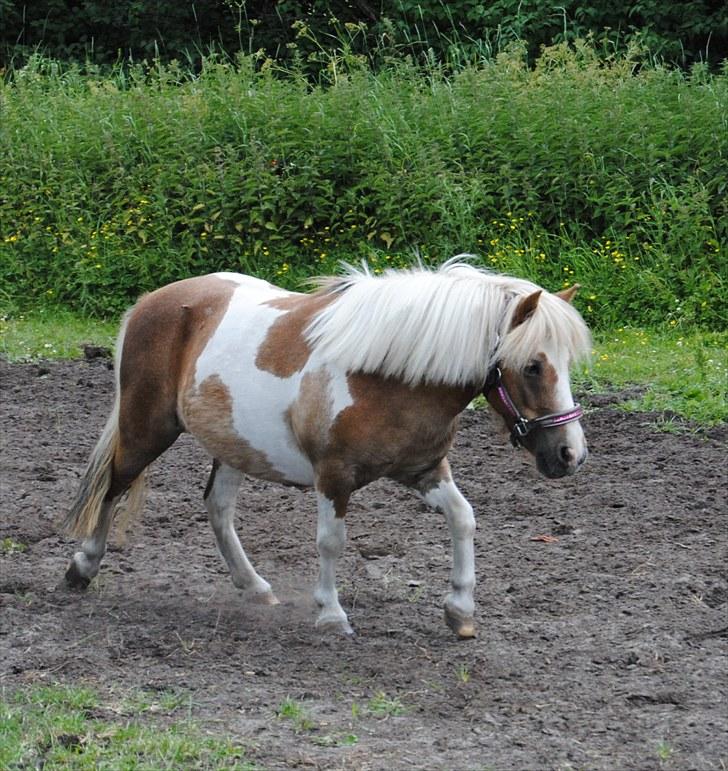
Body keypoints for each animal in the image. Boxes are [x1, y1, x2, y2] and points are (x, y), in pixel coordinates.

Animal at [64, 260, 592, 640]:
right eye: (532, 366)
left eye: (566, 362)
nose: (570, 454)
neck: (391, 376)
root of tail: (153, 301)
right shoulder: (333, 476)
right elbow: (331, 542)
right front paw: (331, 614)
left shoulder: (423, 469)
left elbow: (463, 518)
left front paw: (460, 611)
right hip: (146, 430)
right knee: (113, 486)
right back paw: (81, 568)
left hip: (234, 445)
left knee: (217, 508)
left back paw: (254, 587)